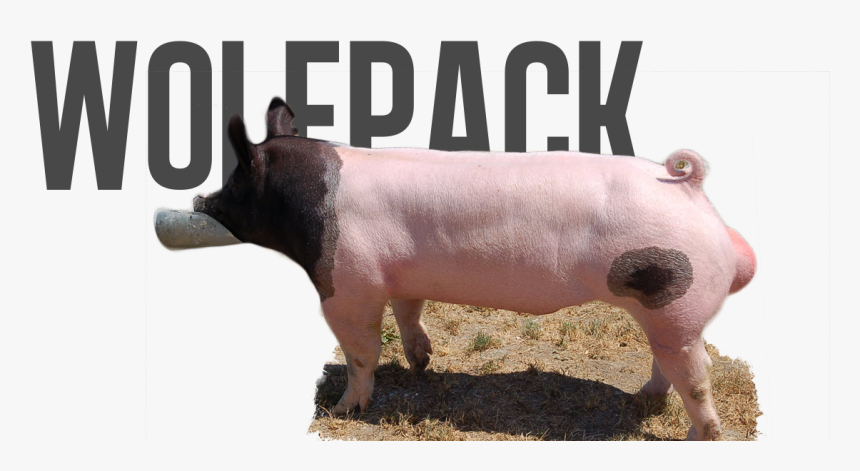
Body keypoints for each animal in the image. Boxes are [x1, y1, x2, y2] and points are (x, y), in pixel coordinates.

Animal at [192, 97, 756, 441]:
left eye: (237, 179)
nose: (201, 200)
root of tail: (689, 188)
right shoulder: (401, 274)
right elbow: (409, 313)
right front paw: (421, 364)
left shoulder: (347, 284)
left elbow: (360, 352)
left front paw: (341, 410)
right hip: (662, 310)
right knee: (669, 362)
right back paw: (643, 399)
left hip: (673, 299)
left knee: (698, 373)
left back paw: (696, 436)